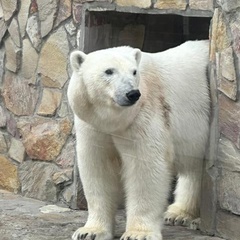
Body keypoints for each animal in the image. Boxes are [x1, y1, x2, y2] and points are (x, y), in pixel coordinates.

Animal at [67, 41, 210, 240]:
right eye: (109, 71)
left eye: (134, 72)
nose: (132, 93)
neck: (114, 121)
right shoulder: (93, 126)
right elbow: (98, 167)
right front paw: (90, 231)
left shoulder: (144, 115)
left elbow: (144, 167)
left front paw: (137, 234)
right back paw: (178, 214)